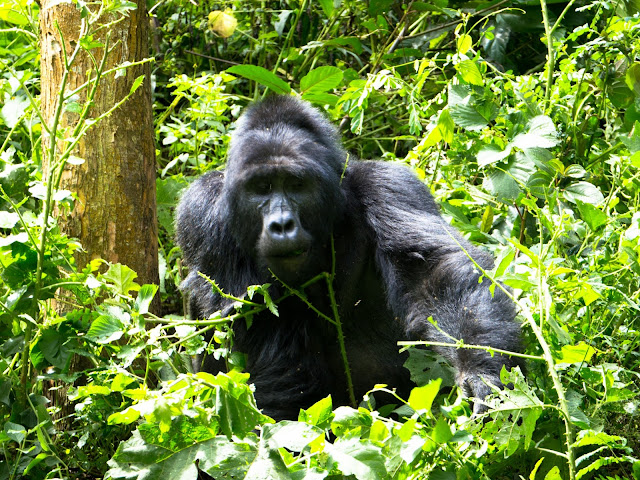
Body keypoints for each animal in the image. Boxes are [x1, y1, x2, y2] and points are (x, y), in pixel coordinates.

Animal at [175, 94, 520, 420]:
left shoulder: (391, 186)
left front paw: (481, 370)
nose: (282, 225)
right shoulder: (200, 207)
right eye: (262, 187)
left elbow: (432, 272)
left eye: (297, 185)